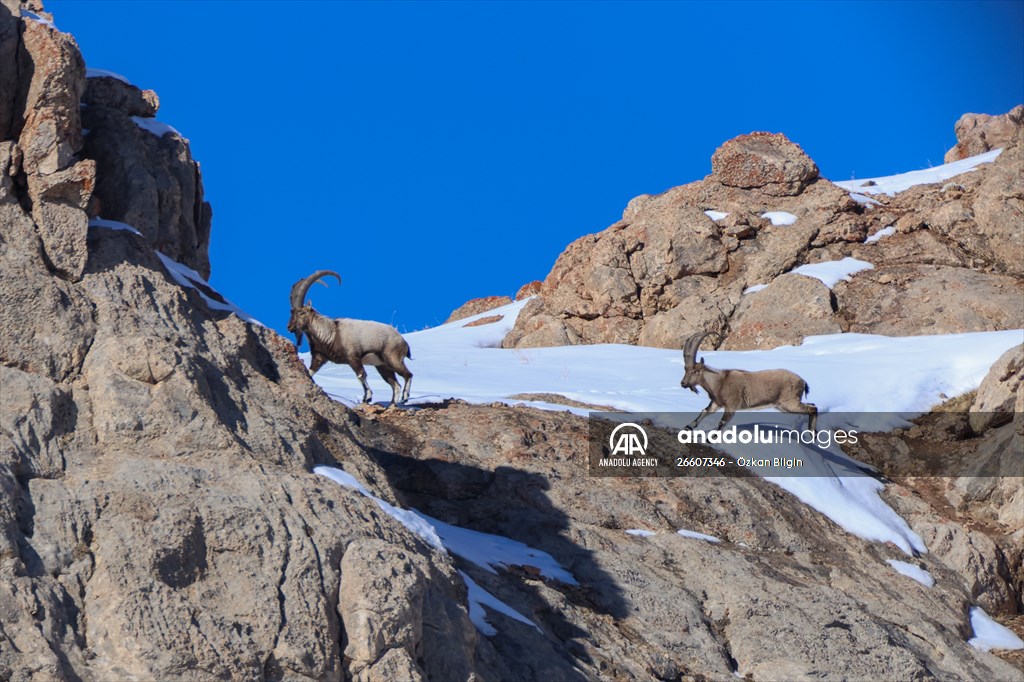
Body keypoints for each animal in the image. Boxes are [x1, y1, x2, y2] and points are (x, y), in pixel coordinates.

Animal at [288, 270, 412, 406]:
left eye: (302, 313)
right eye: (291, 313)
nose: (289, 327)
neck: (330, 333)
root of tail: (403, 342)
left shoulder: (353, 357)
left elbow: (361, 375)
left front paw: (367, 397)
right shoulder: (319, 357)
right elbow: (310, 372)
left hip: (392, 358)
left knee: (408, 374)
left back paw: (405, 397)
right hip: (382, 366)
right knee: (395, 385)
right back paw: (392, 405)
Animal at [680, 332, 817, 430]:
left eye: (695, 371)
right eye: (685, 369)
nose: (683, 383)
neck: (719, 381)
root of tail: (803, 381)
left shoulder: (731, 405)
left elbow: (722, 423)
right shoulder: (716, 403)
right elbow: (704, 411)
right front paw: (688, 427)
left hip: (789, 402)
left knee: (812, 408)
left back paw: (813, 433)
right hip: (783, 406)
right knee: (812, 405)